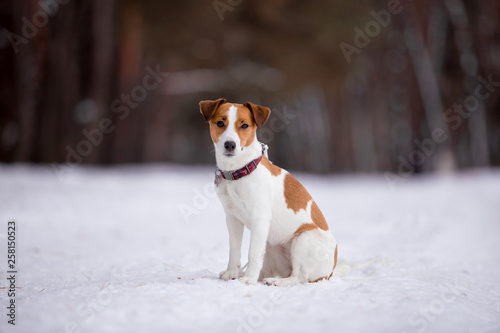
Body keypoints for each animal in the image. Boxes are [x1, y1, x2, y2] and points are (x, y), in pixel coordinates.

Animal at [198, 97, 336, 284]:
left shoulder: (260, 218)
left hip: (303, 239)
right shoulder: (232, 218)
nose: (230, 145)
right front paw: (231, 273)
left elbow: (253, 253)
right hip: (271, 244)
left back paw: (276, 281)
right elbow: (234, 250)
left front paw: (248, 280)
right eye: (220, 123)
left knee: (298, 277)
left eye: (244, 125)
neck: (239, 172)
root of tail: (330, 272)